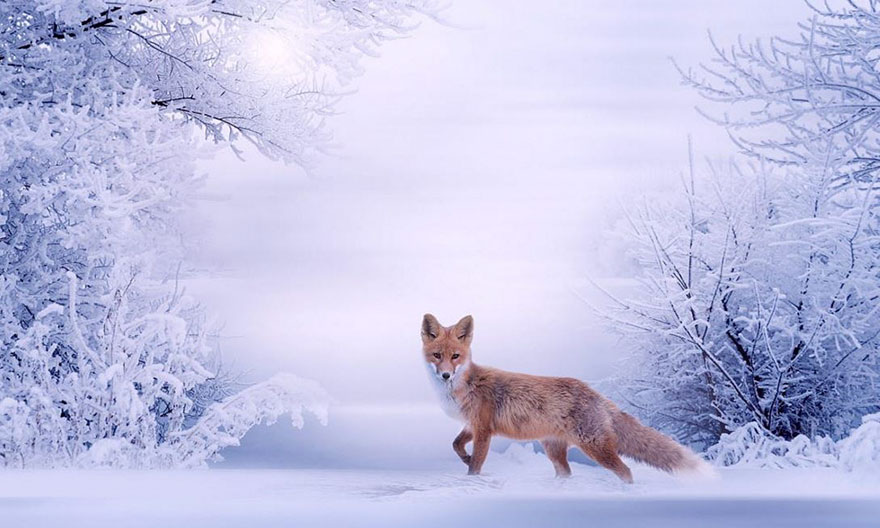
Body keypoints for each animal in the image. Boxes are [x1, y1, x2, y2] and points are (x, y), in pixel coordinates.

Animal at [421, 313, 708, 483]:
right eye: (437, 355)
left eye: (455, 356)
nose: (445, 375)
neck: (464, 387)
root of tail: (598, 395)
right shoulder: (472, 424)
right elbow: (456, 445)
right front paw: (465, 458)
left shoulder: (483, 429)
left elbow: (476, 465)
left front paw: (472, 474)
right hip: (555, 451)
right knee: (566, 473)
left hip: (594, 447)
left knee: (626, 471)